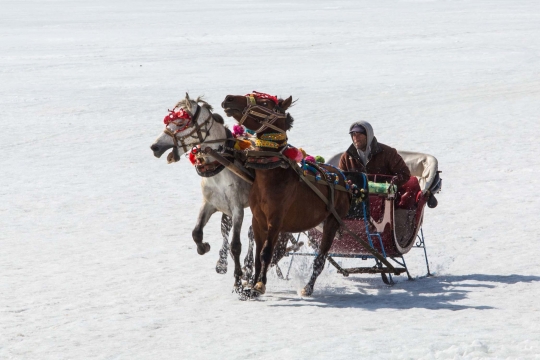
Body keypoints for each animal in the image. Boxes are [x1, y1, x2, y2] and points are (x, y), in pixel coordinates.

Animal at [223, 91, 350, 296]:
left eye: (265, 103)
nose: (229, 98)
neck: (271, 175)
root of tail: (342, 177)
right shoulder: (258, 220)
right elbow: (257, 255)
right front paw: (251, 286)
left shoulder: (275, 220)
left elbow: (266, 252)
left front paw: (260, 285)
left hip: (332, 222)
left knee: (320, 259)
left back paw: (308, 287)